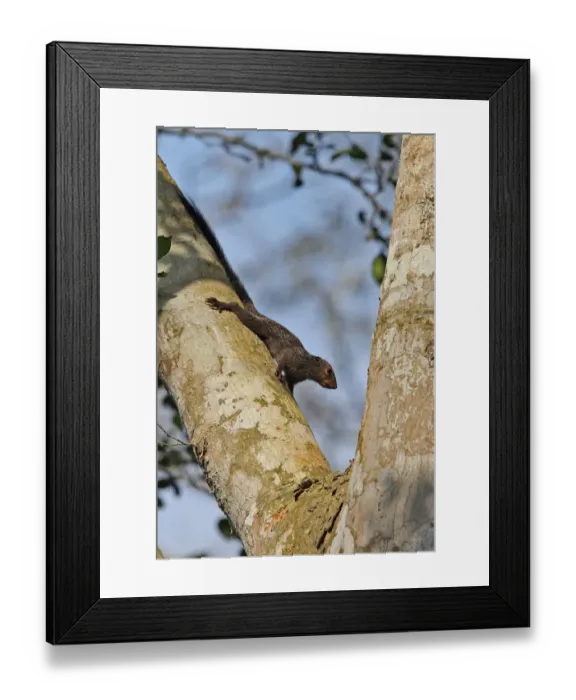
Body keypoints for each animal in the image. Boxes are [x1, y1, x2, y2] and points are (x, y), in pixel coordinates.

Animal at [176, 189, 337, 396]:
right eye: (329, 371)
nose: (334, 386)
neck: (306, 367)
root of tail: (257, 312)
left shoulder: (295, 376)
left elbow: (291, 384)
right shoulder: (292, 357)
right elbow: (283, 360)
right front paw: (277, 371)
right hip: (256, 323)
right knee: (240, 312)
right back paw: (225, 304)